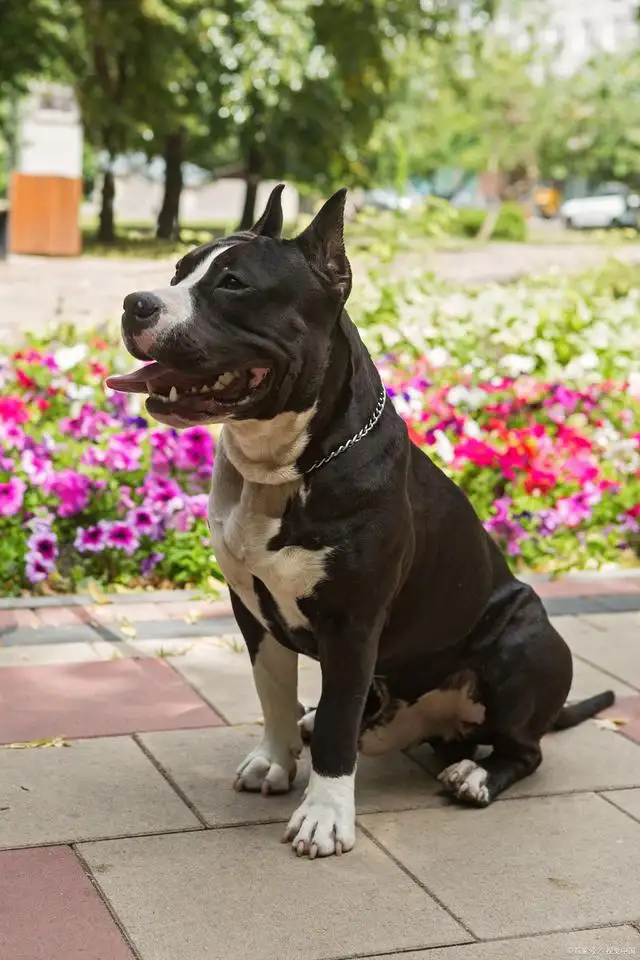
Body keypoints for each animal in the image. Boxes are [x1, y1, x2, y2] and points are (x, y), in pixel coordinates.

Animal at [109, 184, 616, 860]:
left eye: (234, 283)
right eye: (178, 271)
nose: (135, 303)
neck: (282, 469)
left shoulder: (352, 626)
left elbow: (336, 722)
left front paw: (324, 815)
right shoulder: (253, 612)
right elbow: (274, 693)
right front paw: (275, 760)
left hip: (523, 637)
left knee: (523, 749)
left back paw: (477, 775)